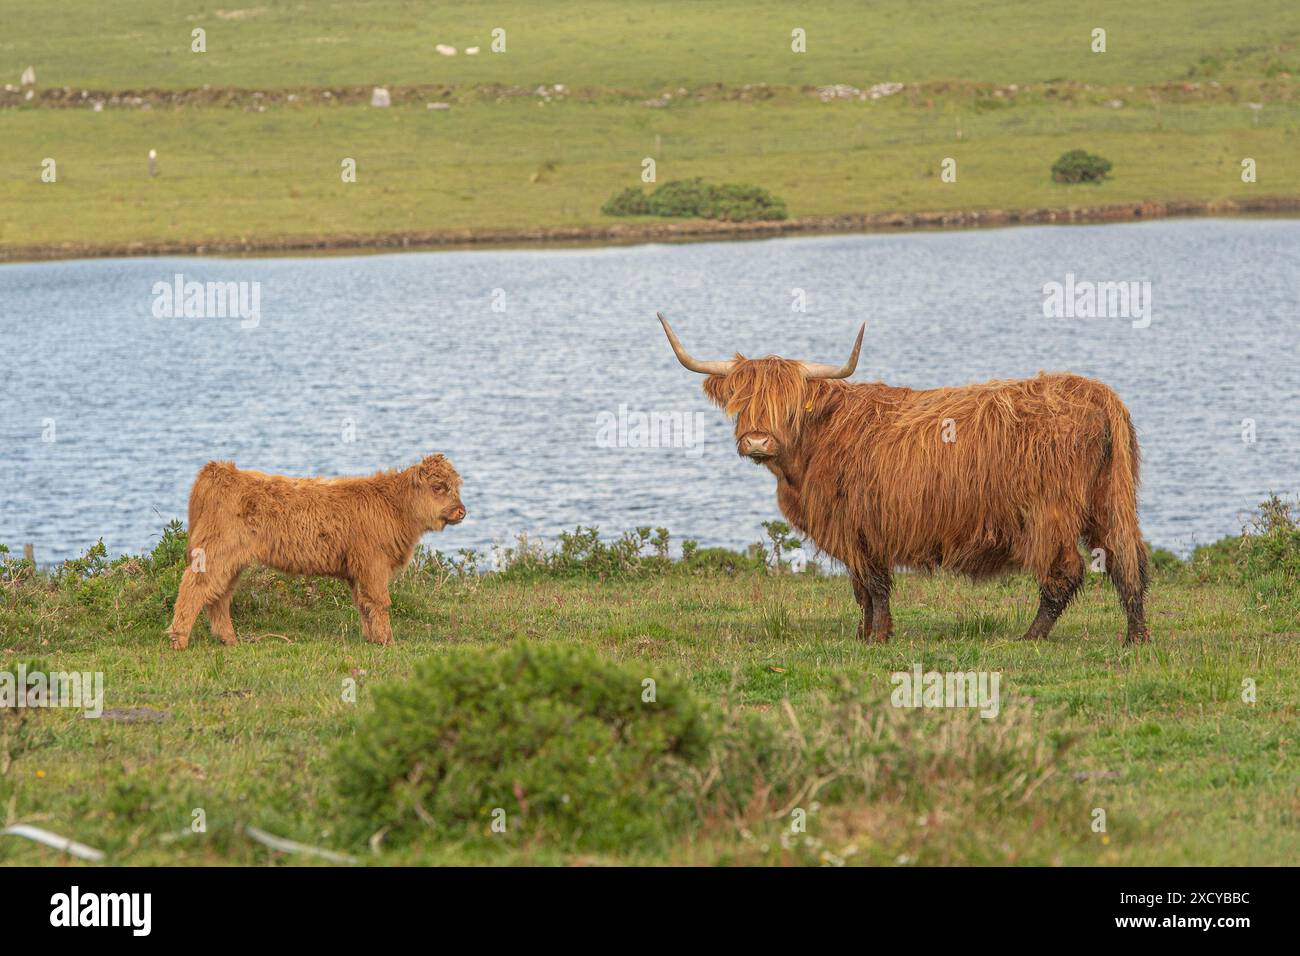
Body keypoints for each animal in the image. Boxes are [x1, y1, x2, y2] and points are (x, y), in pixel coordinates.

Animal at [165, 455, 465, 650]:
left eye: (456, 486)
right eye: (438, 487)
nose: (462, 511)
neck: (395, 507)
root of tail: (221, 470)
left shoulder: (358, 571)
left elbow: (364, 604)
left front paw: (372, 638)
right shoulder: (373, 565)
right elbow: (380, 602)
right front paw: (387, 641)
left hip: (231, 561)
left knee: (219, 596)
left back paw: (229, 639)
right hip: (215, 554)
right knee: (194, 587)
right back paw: (178, 640)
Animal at [660, 317, 1149, 647]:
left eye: (790, 404)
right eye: (741, 401)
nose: (758, 440)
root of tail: (1098, 393)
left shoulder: (861, 526)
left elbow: (874, 586)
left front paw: (877, 637)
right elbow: (862, 589)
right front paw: (866, 633)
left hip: (1051, 511)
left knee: (1065, 571)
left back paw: (1031, 636)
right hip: (1111, 498)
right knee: (1128, 562)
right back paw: (1136, 637)